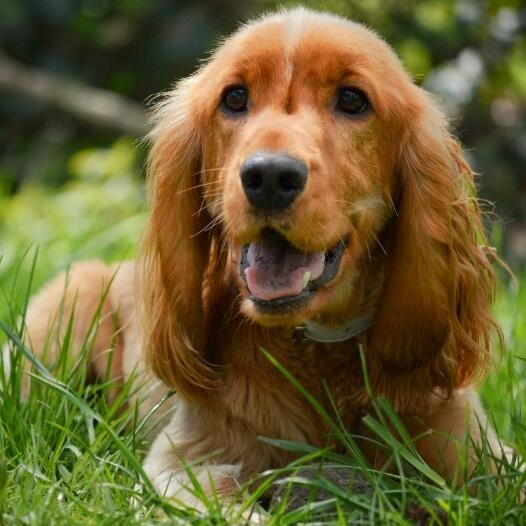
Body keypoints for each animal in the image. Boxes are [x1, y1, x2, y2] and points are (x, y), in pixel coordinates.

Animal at [15, 7, 512, 508]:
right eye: (235, 97)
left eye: (353, 100)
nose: (269, 176)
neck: (315, 348)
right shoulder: (179, 465)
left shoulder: (482, 457)